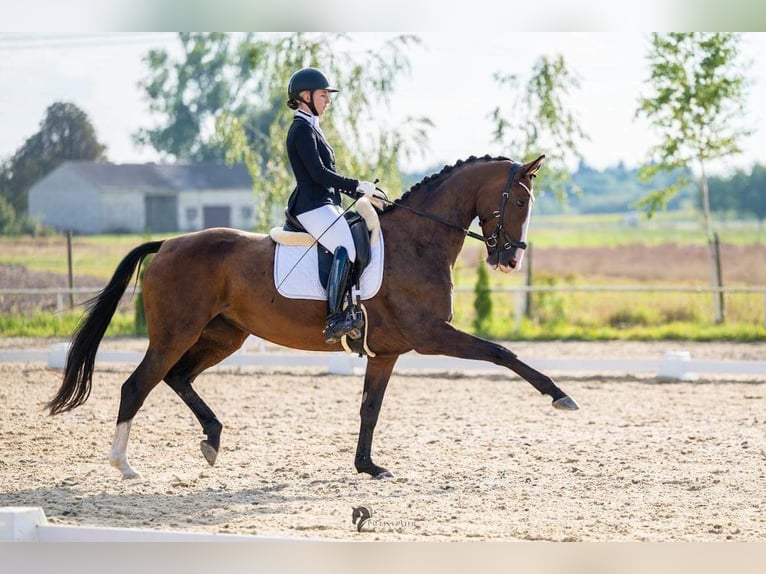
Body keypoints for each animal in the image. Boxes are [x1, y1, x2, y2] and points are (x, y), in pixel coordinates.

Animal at [46, 153, 576, 482]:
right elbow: (501, 352)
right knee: (138, 384)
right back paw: (124, 465)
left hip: (224, 336)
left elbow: (370, 408)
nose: (511, 259)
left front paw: (368, 467)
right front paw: (560, 396)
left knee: (178, 377)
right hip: (176, 333)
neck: (418, 240)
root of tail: (169, 244)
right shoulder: (430, 335)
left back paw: (212, 439)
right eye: (520, 201)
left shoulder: (387, 351)